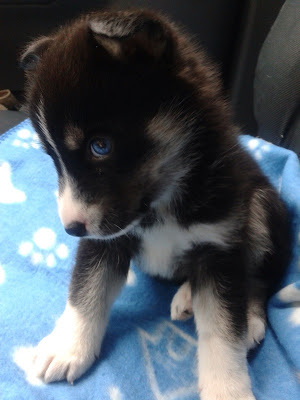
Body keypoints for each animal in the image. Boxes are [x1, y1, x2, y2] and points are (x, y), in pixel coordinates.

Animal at [20, 8, 290, 400]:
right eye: (53, 158)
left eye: (100, 146)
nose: (70, 229)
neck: (162, 203)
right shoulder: (106, 240)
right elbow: (87, 290)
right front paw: (68, 347)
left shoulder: (220, 245)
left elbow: (223, 330)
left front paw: (227, 388)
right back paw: (189, 296)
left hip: (260, 207)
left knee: (258, 280)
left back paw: (249, 319)